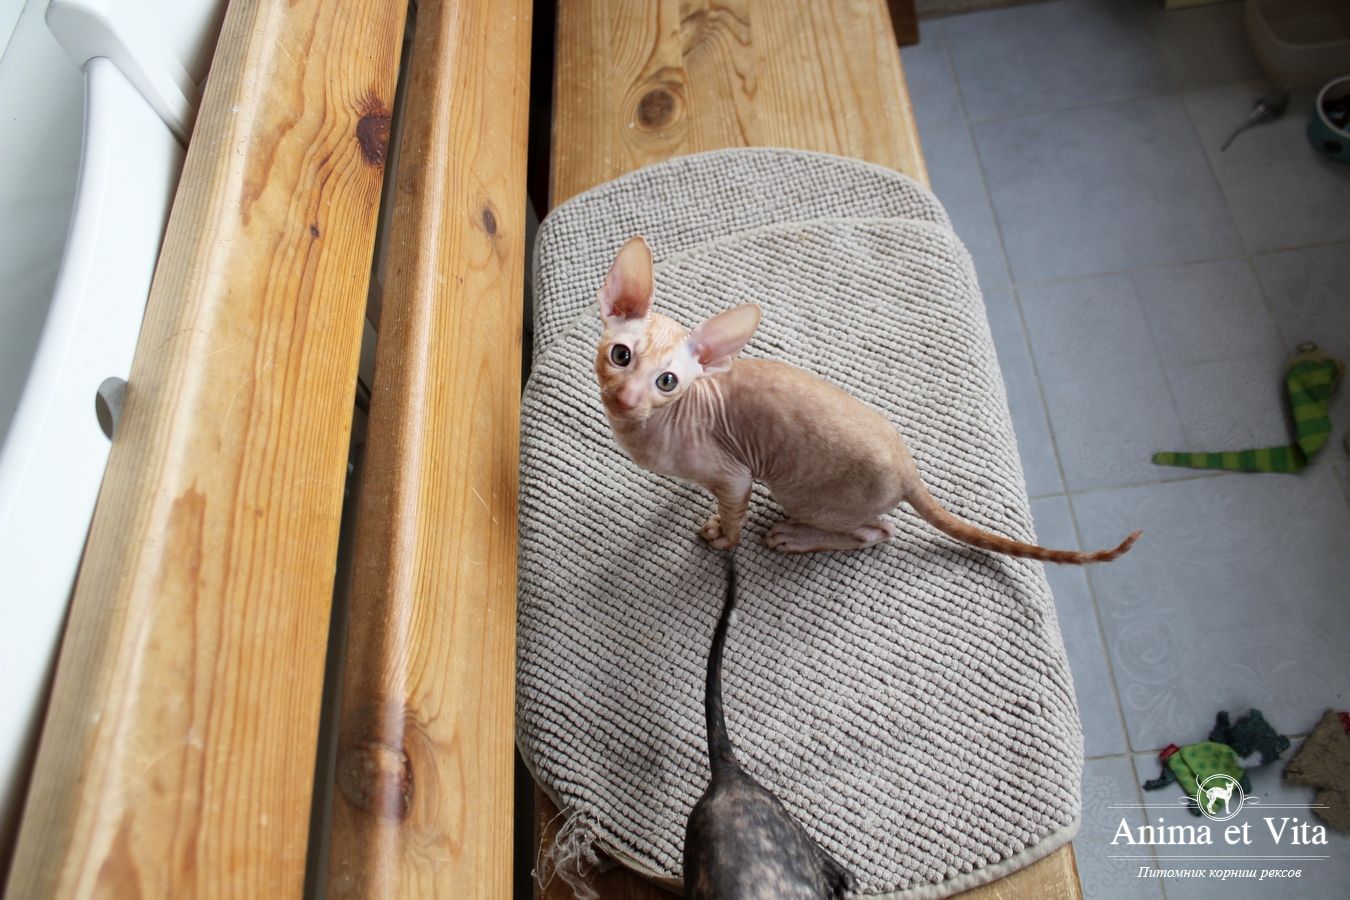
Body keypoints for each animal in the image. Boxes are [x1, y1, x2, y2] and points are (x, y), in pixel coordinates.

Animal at [593, 236, 1140, 563]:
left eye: (667, 382)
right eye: (621, 355)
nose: (627, 397)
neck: (647, 433)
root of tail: (909, 471)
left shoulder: (735, 477)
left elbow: (731, 517)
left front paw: (721, 539)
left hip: (802, 492)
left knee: (878, 532)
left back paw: (796, 537)